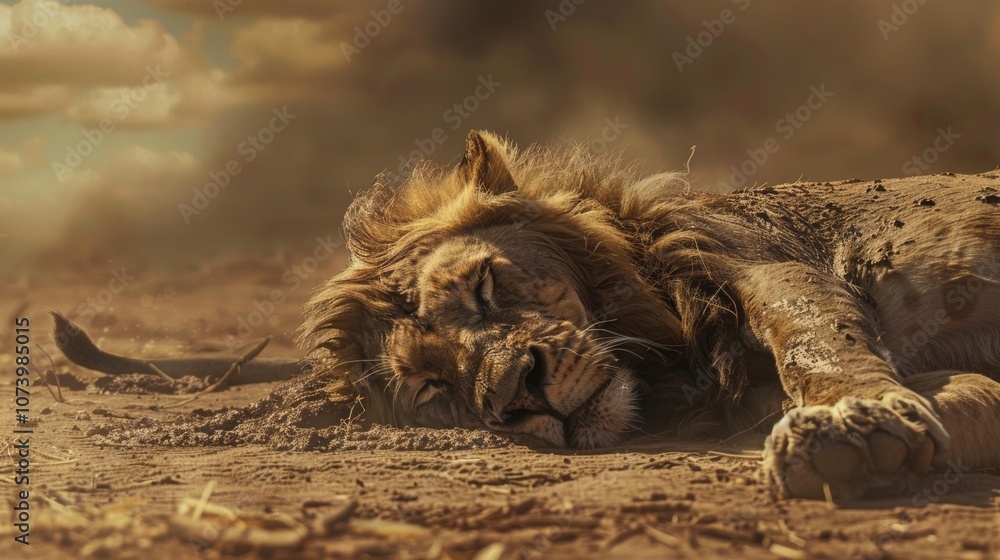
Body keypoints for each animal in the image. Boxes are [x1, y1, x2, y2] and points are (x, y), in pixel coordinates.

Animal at [54, 131, 1000, 500]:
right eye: (432, 389)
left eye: (482, 286)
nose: (521, 393)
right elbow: (971, 398)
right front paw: (880, 445)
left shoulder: (762, 259)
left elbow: (815, 335)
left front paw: (849, 421)